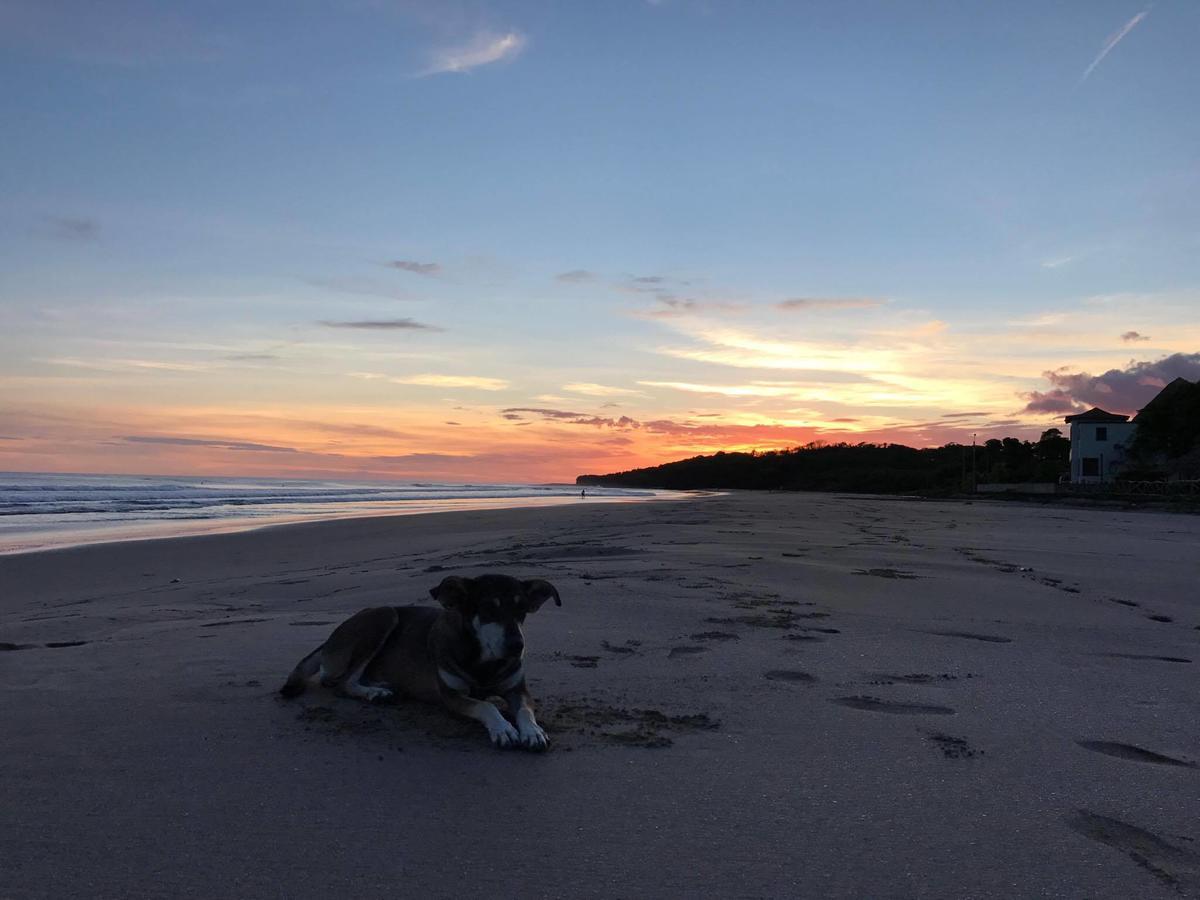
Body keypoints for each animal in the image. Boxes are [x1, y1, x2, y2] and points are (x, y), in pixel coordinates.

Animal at [278, 573, 559, 748]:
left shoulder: (517, 689)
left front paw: (533, 732)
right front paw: (503, 729)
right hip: (382, 616)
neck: (484, 661)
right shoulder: (451, 696)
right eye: (489, 608)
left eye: (522, 610)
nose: (517, 646)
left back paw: (383, 686)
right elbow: (486, 705)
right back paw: (374, 693)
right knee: (341, 682)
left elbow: (524, 709)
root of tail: (330, 639)